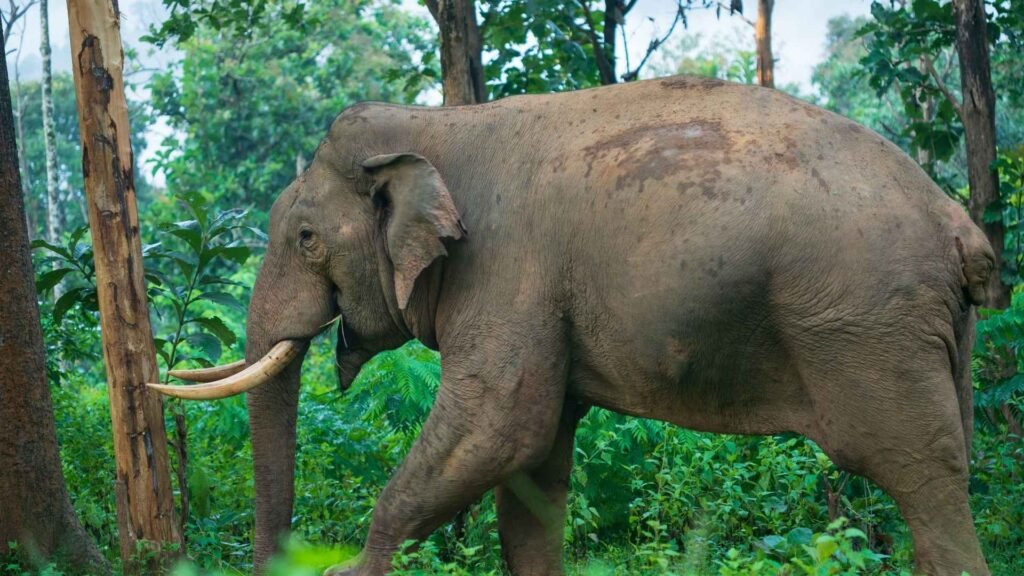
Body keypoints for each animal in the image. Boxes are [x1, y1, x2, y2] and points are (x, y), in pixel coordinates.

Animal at [150, 75, 995, 576]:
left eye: (305, 239)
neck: (436, 124)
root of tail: (958, 224)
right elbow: (533, 468)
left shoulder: (507, 268)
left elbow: (497, 429)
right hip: (931, 332)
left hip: (868, 325)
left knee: (922, 475)